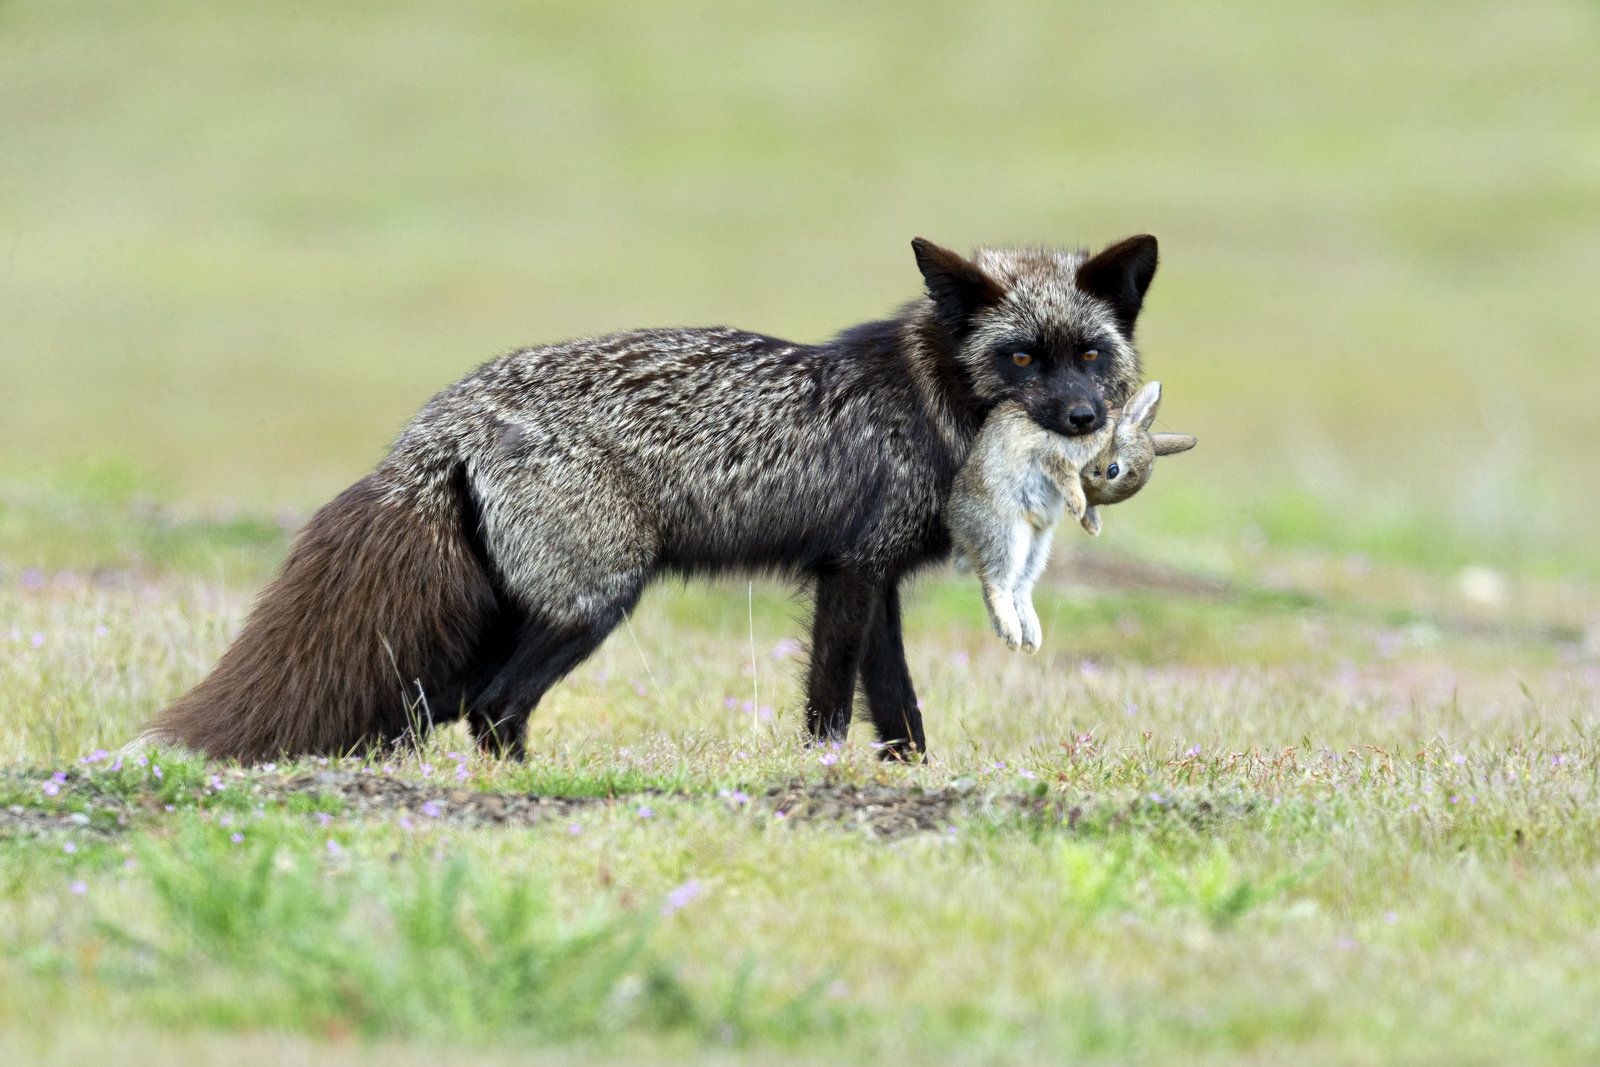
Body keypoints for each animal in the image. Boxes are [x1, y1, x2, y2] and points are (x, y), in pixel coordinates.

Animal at [142, 235, 1162, 763]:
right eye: (1021, 356)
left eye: (1091, 353)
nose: (1081, 418)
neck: (926, 397)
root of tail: (442, 418)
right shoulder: (853, 573)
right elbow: (832, 706)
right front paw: (821, 778)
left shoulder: (871, 578)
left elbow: (900, 711)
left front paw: (905, 779)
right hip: (592, 602)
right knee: (493, 708)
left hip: (508, 611)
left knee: (456, 705)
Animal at [946, 379, 1196, 653]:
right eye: (1113, 470)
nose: (1087, 506)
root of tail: (956, 528)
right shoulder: (1052, 450)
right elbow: (1062, 470)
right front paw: (1078, 505)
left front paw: (1090, 522)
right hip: (1005, 535)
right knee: (994, 583)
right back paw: (1012, 634)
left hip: (1037, 548)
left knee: (1019, 586)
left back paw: (1030, 637)